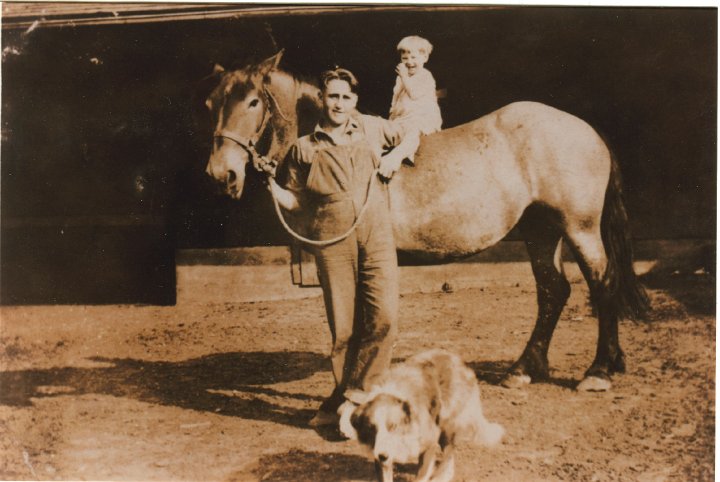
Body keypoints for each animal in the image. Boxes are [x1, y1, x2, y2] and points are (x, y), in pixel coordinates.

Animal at [202, 51, 648, 392]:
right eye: (211, 104)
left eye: (253, 102)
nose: (221, 175)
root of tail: (587, 130)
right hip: (541, 230)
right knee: (554, 291)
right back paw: (524, 370)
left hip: (579, 228)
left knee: (602, 283)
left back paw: (598, 372)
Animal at [338, 350, 504, 482]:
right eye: (371, 428)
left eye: (393, 426)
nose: (383, 455)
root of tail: (458, 361)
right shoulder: (380, 455)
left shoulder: (429, 443)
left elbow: (422, 475)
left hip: (447, 423)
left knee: (448, 453)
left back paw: (441, 476)